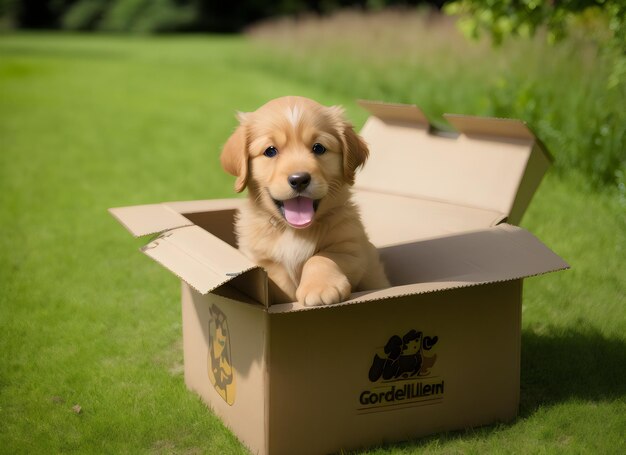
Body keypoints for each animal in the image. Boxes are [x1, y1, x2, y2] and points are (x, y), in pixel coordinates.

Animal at [218, 96, 386, 306]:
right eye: (270, 151)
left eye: (319, 148)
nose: (299, 179)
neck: (294, 232)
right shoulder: (258, 258)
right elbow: (276, 276)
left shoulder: (351, 248)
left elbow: (322, 257)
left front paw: (320, 288)